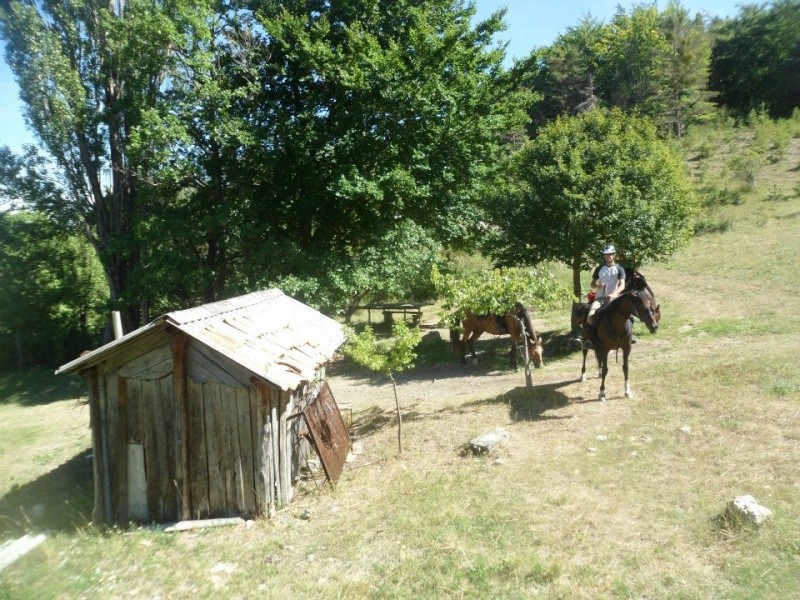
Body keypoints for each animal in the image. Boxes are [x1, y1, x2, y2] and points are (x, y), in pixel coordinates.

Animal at [576, 272, 664, 404]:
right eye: (641, 305)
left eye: (649, 304)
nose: (654, 326)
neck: (617, 324)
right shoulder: (606, 349)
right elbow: (606, 369)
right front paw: (602, 393)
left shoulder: (626, 348)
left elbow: (626, 368)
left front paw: (627, 391)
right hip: (587, 339)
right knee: (585, 353)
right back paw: (583, 375)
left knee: (597, 356)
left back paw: (599, 372)